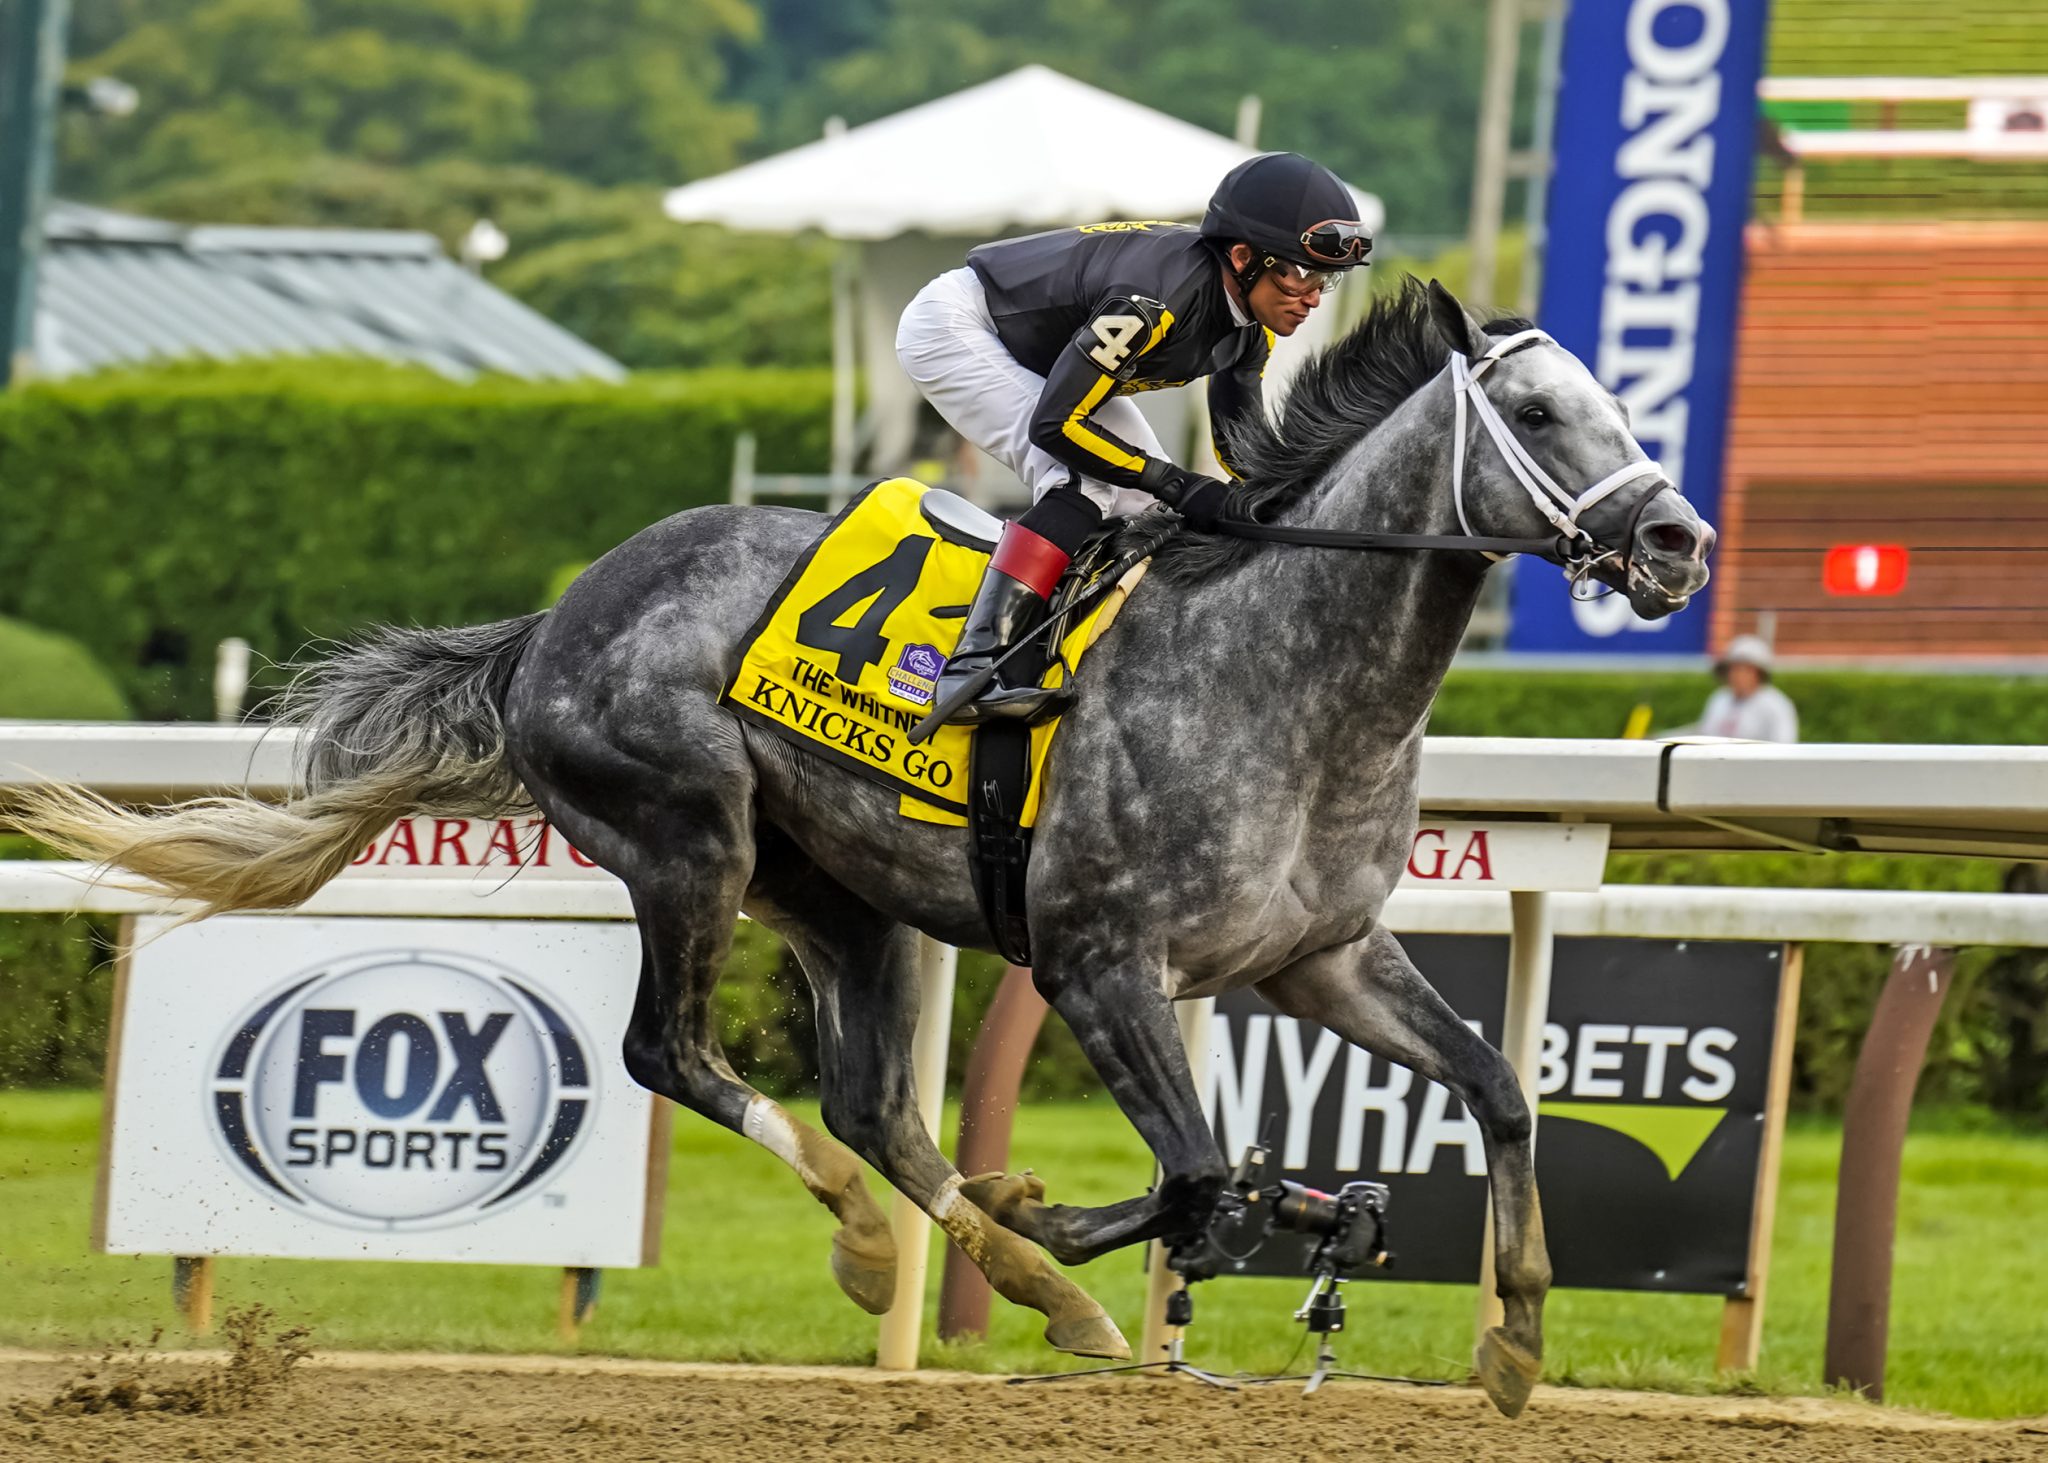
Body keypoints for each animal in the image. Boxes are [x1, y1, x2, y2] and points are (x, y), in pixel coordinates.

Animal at [11, 279, 1712, 1416]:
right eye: (1544, 414)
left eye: (1627, 405)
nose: (1678, 539)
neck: (1282, 677)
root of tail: (554, 615)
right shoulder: (1100, 961)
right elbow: (1196, 1174)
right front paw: (1066, 1210)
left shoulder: (1319, 956)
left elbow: (1494, 1083)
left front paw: (1513, 1333)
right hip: (685, 838)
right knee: (679, 1056)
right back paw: (881, 1239)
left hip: (849, 900)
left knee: (880, 1105)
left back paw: (1021, 1285)